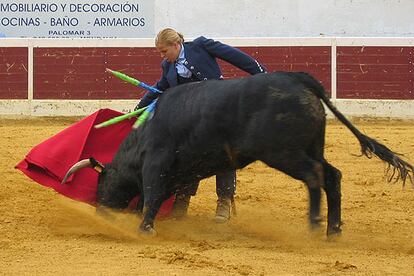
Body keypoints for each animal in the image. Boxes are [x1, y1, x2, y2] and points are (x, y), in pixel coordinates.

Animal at [62, 71, 414, 235]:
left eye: (102, 183)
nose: (100, 212)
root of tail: (297, 77)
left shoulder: (157, 163)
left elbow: (151, 194)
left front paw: (143, 228)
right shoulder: (178, 172)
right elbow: (159, 196)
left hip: (283, 153)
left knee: (315, 177)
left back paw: (315, 225)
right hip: (312, 146)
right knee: (332, 175)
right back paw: (333, 230)